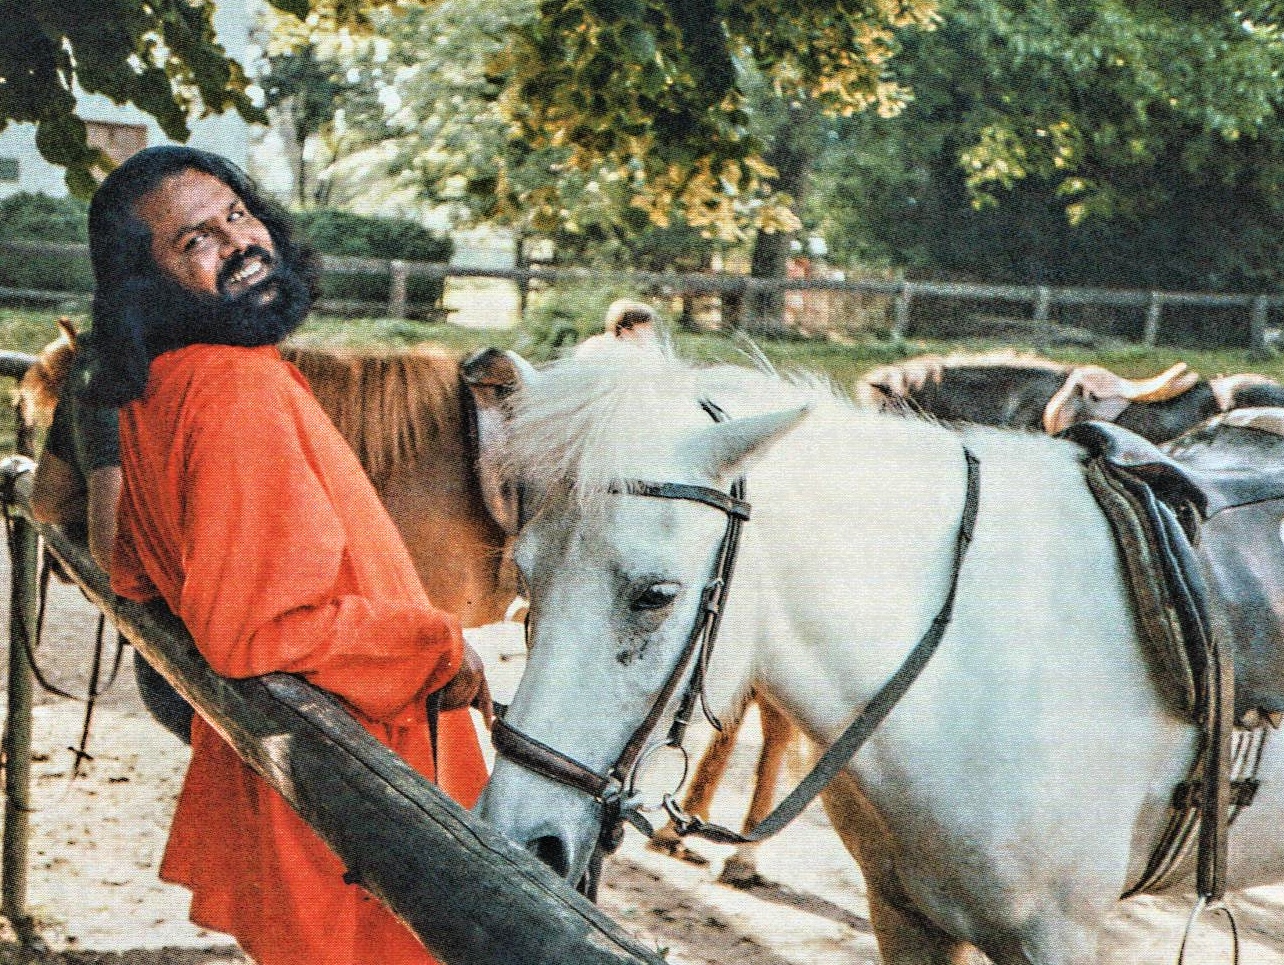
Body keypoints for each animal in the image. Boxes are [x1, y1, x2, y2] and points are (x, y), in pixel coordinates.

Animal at [471, 345, 1284, 964]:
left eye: (656, 594)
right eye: (527, 578)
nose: (522, 841)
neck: (969, 667)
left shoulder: (1057, 935)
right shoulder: (905, 917)